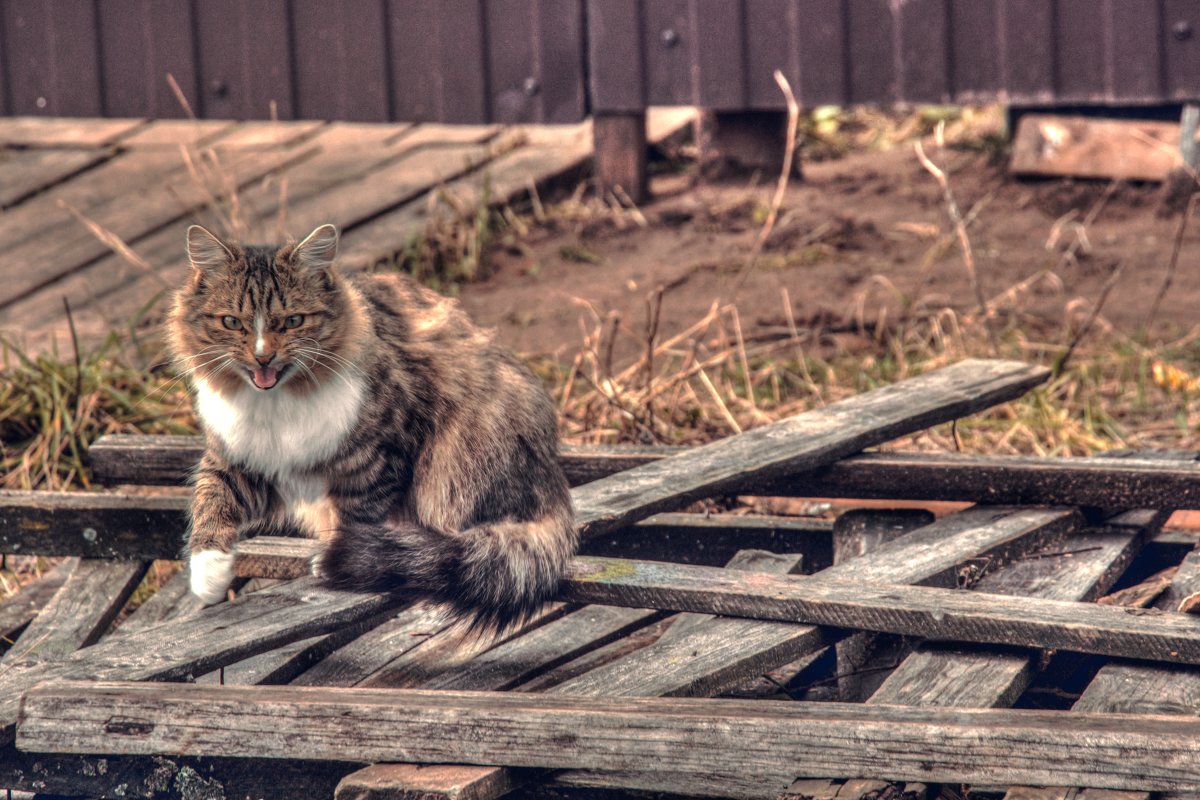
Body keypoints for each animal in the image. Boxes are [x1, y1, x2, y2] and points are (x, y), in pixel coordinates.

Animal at [168, 220, 576, 633]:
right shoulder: (236, 458)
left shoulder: (375, 459)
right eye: (231, 323)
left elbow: (355, 518)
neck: (275, 403)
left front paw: (339, 557)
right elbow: (211, 506)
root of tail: (553, 484)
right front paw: (208, 577)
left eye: (294, 321)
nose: (263, 357)